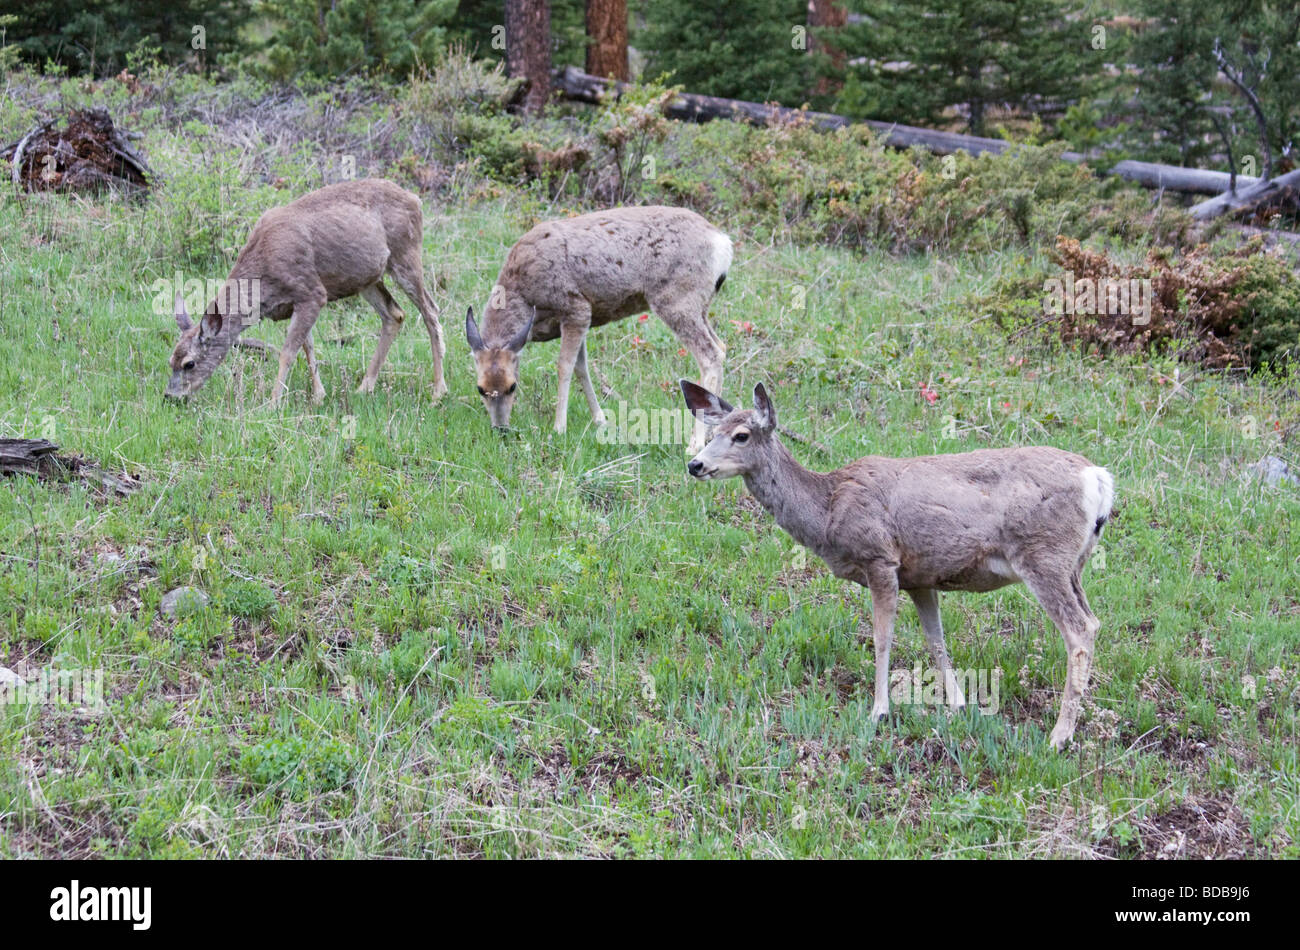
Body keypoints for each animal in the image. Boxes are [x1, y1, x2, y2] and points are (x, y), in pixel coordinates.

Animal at [164, 178, 447, 404]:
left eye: (189, 363)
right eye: (171, 361)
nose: (170, 397)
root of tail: (416, 199)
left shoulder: (312, 292)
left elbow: (288, 352)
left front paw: (274, 402)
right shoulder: (296, 304)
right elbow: (308, 347)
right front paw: (319, 396)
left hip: (406, 255)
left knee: (431, 311)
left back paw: (438, 392)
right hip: (368, 278)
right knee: (394, 314)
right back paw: (364, 387)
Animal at [465, 206, 733, 453]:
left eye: (512, 386)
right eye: (480, 388)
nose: (500, 429)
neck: (523, 293)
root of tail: (722, 243)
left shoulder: (575, 306)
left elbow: (564, 366)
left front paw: (559, 428)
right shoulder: (584, 317)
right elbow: (581, 367)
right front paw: (601, 420)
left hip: (676, 298)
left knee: (709, 355)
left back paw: (695, 444)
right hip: (700, 305)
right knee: (721, 346)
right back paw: (714, 432)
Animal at [680, 380, 1115, 751]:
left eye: (741, 435)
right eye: (713, 432)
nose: (695, 465)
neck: (828, 508)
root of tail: (1098, 477)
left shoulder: (880, 557)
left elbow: (882, 637)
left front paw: (878, 711)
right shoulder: (920, 576)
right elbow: (936, 640)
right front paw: (959, 703)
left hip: (1043, 555)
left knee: (1079, 630)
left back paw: (1059, 736)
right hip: (1073, 565)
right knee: (1093, 621)